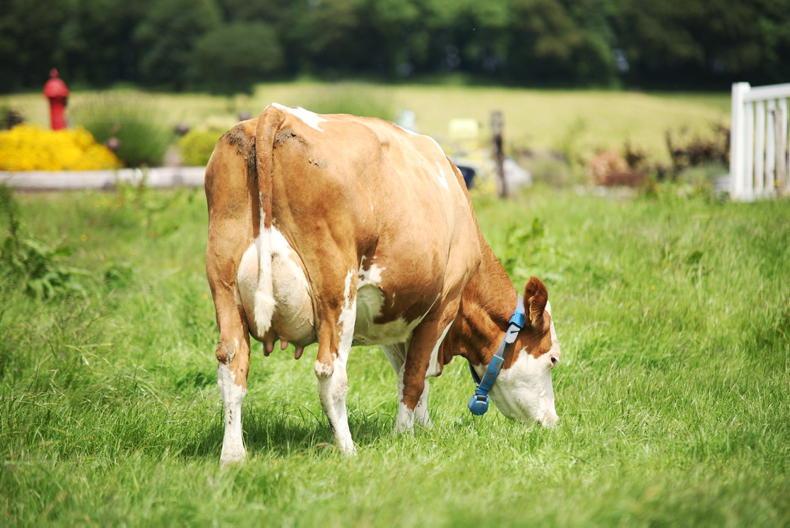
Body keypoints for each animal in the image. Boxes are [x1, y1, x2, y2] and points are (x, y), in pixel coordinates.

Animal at [205, 103, 561, 465]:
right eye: (552, 359)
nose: (551, 422)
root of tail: (276, 113)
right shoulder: (443, 305)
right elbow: (416, 376)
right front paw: (404, 435)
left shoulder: (396, 317)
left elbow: (407, 376)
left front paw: (423, 426)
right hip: (337, 296)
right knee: (331, 374)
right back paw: (347, 449)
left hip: (225, 288)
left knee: (232, 368)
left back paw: (232, 456)